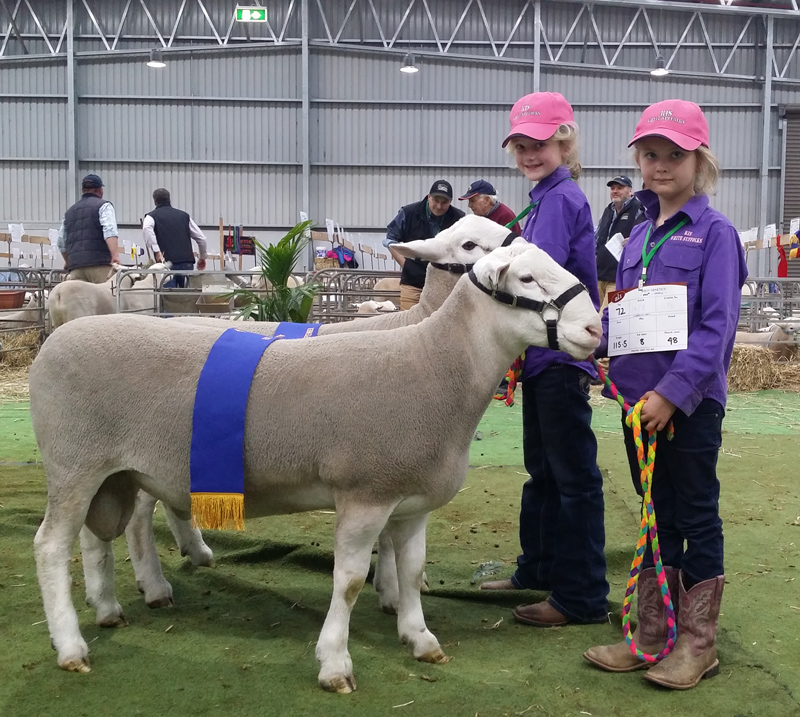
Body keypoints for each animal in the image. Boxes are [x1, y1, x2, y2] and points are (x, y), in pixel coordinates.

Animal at [29, 243, 600, 692]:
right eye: (525, 279)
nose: (595, 327)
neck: (435, 361)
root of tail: (54, 339)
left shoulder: (410, 502)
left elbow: (412, 572)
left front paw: (421, 639)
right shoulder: (364, 493)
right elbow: (347, 581)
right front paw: (335, 664)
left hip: (111, 473)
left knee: (97, 538)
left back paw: (108, 609)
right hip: (73, 463)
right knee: (52, 546)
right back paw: (73, 646)